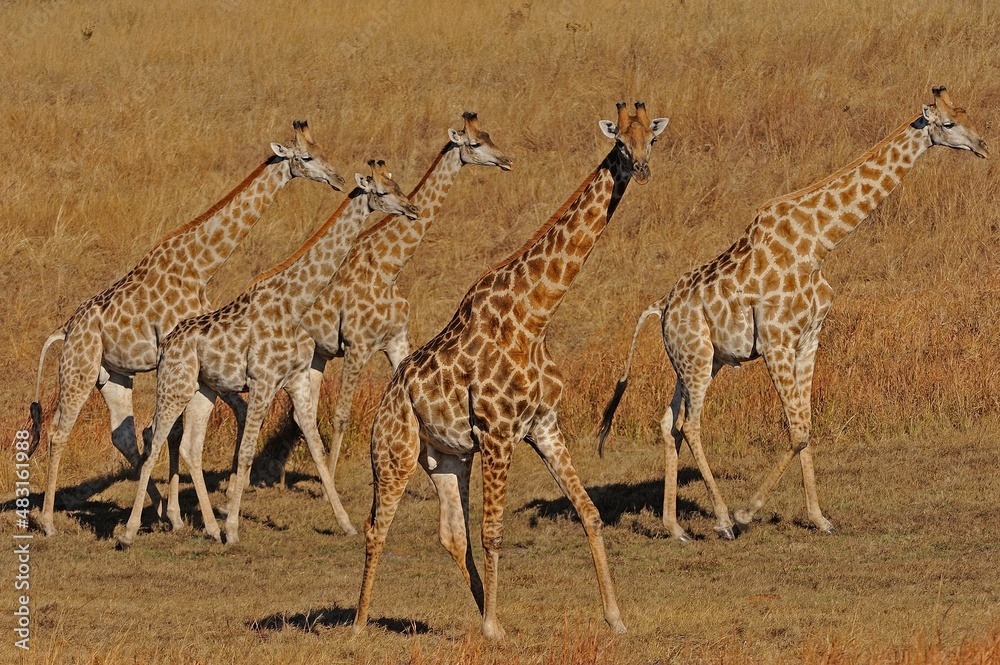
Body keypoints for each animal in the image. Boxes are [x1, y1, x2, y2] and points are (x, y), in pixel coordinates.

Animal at [29, 120, 345, 537]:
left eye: (324, 151)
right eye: (306, 157)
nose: (339, 178)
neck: (199, 265)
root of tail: (64, 330)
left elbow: (187, 429)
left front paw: (181, 514)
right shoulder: (182, 356)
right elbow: (177, 432)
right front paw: (192, 515)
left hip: (112, 376)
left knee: (123, 435)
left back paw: (155, 508)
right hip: (77, 370)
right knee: (59, 432)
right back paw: (49, 523)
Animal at [117, 161, 418, 547]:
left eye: (398, 186)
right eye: (381, 192)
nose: (412, 209)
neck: (293, 303)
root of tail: (167, 343)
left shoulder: (296, 379)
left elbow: (316, 447)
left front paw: (346, 524)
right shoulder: (262, 381)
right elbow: (246, 453)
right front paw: (233, 529)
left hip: (203, 390)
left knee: (190, 447)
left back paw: (209, 529)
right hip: (174, 386)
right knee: (154, 442)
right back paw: (130, 533)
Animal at [289, 112, 512, 492]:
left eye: (489, 135)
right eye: (475, 143)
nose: (507, 160)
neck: (388, 267)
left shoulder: (396, 341)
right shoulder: (357, 345)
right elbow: (341, 414)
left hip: (317, 354)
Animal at [352, 102, 668, 639]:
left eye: (652, 139)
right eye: (621, 144)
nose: (643, 170)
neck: (535, 315)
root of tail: (387, 397)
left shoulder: (544, 425)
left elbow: (589, 513)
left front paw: (615, 618)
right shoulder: (499, 434)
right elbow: (495, 531)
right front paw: (494, 631)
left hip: (446, 458)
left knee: (450, 534)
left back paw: (480, 607)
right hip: (394, 451)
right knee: (379, 527)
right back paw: (357, 625)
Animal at [597, 87, 987, 541]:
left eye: (967, 114)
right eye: (949, 123)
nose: (982, 146)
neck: (818, 243)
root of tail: (661, 306)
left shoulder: (809, 338)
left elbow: (806, 426)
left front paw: (819, 519)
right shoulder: (776, 340)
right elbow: (797, 429)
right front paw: (747, 513)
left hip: (700, 361)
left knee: (668, 423)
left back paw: (675, 527)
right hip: (695, 359)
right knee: (690, 425)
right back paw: (723, 520)